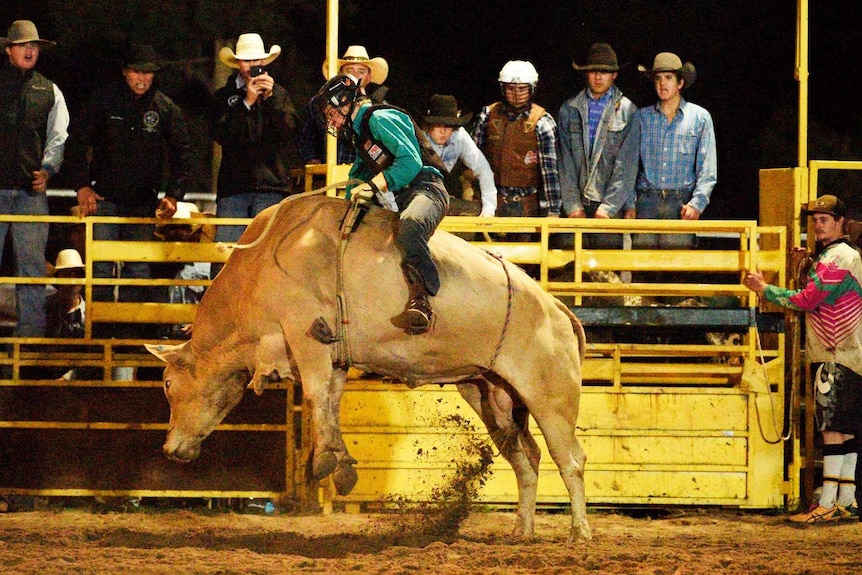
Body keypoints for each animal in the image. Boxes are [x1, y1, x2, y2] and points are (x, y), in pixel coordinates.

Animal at [148, 196, 592, 544]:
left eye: (168, 384)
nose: (170, 450)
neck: (258, 269)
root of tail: (557, 308)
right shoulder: (333, 355)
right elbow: (329, 400)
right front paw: (340, 464)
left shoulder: (306, 337)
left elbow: (316, 394)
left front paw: (327, 465)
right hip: (493, 397)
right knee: (526, 459)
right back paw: (522, 530)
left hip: (551, 397)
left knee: (569, 458)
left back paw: (579, 532)